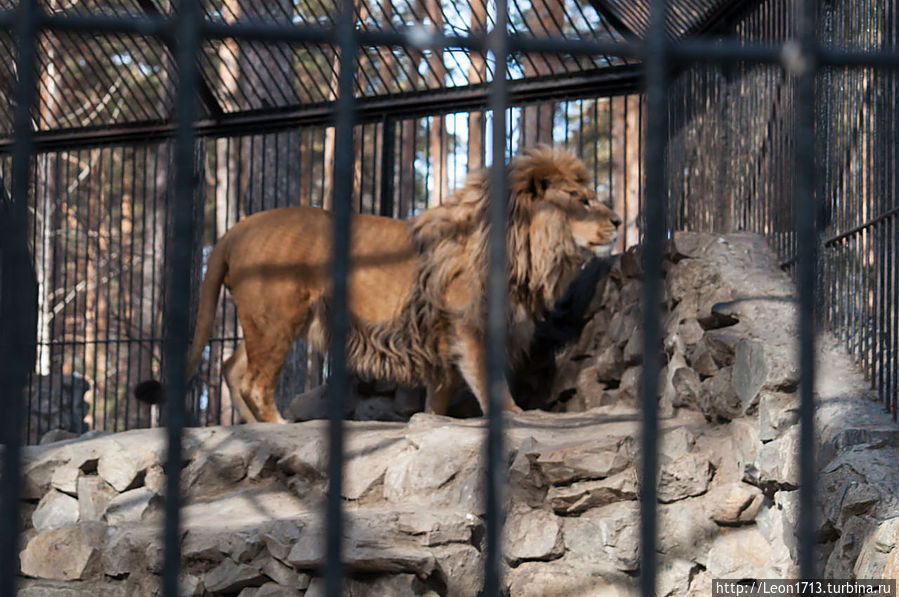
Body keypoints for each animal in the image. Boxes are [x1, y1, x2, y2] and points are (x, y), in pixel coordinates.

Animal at [137, 146, 624, 422]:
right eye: (583, 201)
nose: (619, 220)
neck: (527, 248)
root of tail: (234, 230)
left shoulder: (443, 338)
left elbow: (440, 394)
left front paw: (432, 421)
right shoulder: (469, 323)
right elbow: (489, 379)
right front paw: (515, 414)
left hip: (264, 320)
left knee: (231, 368)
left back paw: (258, 431)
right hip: (277, 317)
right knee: (255, 381)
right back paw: (278, 429)